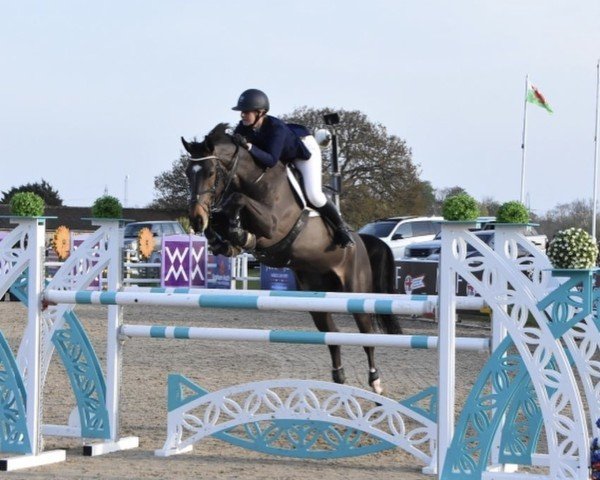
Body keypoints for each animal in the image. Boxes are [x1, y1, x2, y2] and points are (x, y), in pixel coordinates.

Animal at [180, 124, 400, 394]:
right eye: (188, 173)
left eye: (211, 173)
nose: (196, 219)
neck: (256, 180)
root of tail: (361, 240)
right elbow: (224, 214)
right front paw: (224, 238)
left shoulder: (273, 225)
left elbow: (237, 201)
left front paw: (240, 234)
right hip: (317, 297)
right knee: (332, 334)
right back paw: (338, 377)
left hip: (355, 292)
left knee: (366, 336)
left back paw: (375, 382)